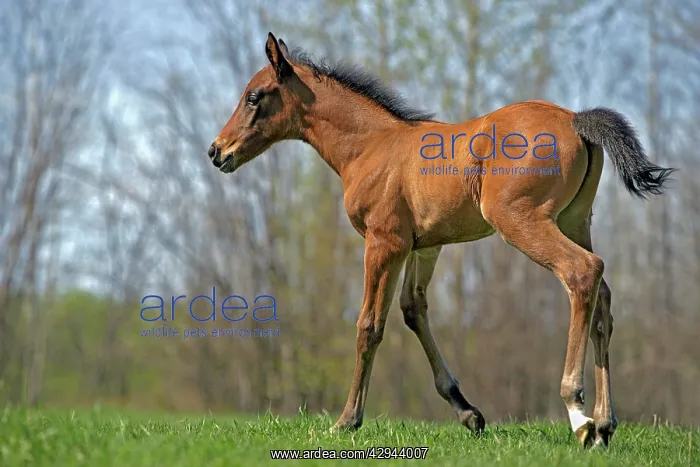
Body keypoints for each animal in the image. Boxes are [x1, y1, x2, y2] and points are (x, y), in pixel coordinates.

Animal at [208, 32, 675, 448]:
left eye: (254, 96)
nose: (216, 151)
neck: (370, 147)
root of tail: (577, 119)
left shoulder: (384, 242)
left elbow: (368, 325)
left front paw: (346, 421)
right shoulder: (425, 246)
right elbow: (412, 310)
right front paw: (469, 413)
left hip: (521, 221)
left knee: (582, 272)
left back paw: (579, 415)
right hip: (575, 221)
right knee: (603, 300)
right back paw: (605, 422)